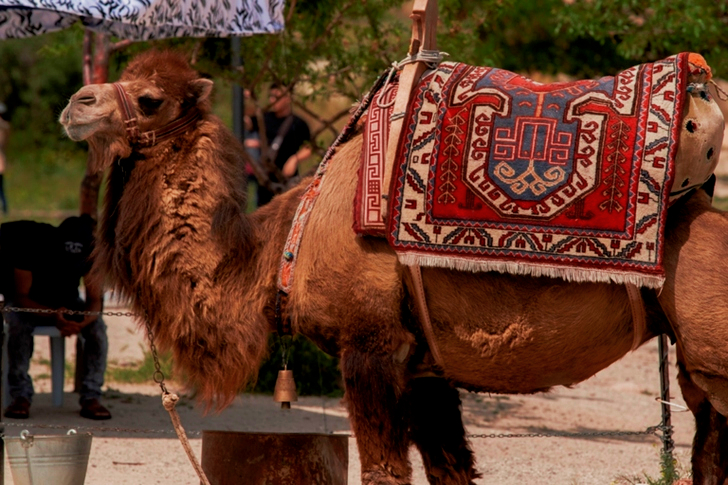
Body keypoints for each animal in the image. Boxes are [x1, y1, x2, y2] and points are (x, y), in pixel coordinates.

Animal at [60, 50, 728, 484]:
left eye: (149, 98)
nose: (75, 103)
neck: (281, 249)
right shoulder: (426, 366)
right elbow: (451, 470)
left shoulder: (371, 345)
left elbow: (384, 473)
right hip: (697, 371)